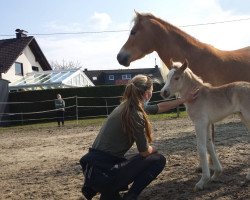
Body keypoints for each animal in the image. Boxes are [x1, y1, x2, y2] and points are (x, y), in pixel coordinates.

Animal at [160, 58, 250, 190]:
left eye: (176, 78)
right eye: (167, 76)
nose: (164, 92)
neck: (197, 96)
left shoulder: (200, 123)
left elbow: (201, 148)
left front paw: (202, 181)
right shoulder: (207, 123)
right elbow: (210, 145)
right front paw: (216, 174)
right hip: (243, 117)